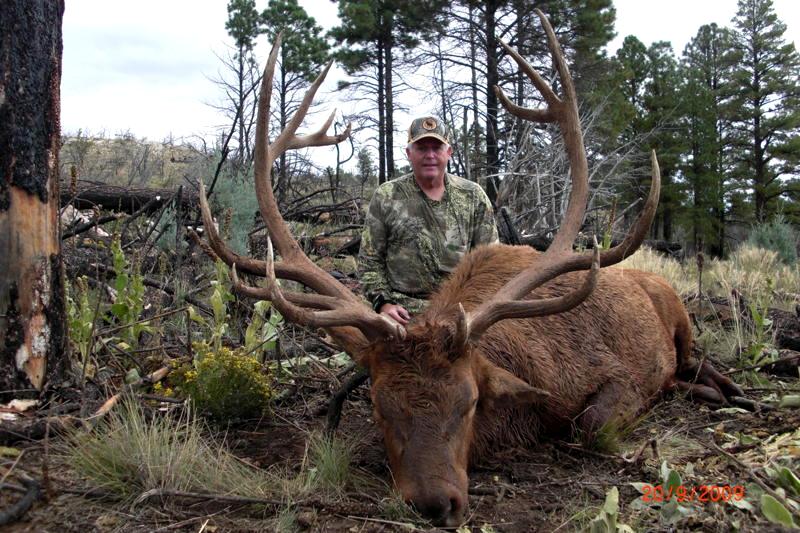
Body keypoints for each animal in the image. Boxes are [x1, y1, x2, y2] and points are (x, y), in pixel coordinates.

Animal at [195, 14, 744, 528]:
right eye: (379, 406)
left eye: (469, 402)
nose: (435, 503)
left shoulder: (615, 376)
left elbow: (592, 425)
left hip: (680, 317)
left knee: (695, 361)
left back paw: (722, 390)